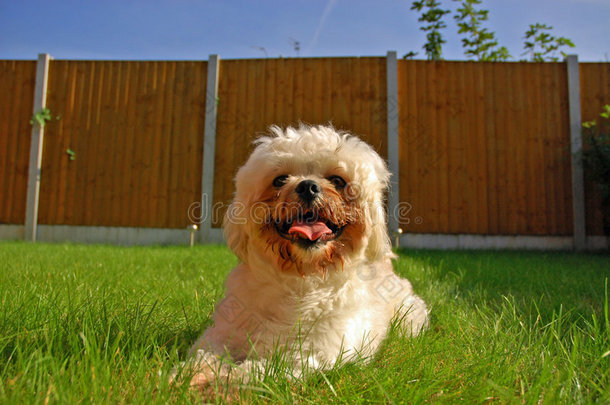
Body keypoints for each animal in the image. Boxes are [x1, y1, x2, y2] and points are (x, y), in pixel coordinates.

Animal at [183, 124, 426, 388]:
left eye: (337, 180)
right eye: (280, 180)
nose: (308, 185)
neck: (300, 279)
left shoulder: (311, 354)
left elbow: (258, 371)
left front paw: (224, 381)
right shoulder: (225, 331)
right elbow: (204, 355)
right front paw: (187, 376)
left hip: (409, 317)